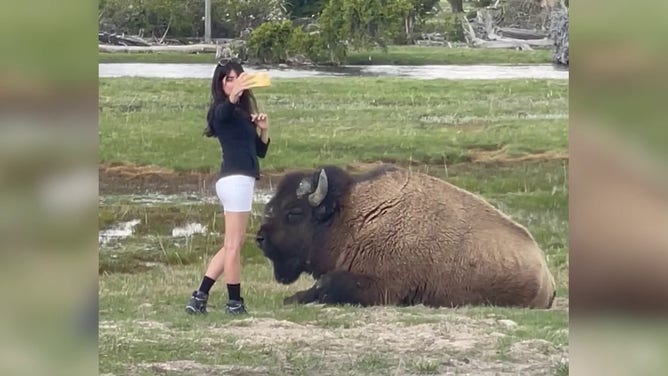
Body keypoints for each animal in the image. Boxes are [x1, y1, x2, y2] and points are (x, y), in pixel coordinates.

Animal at [258, 164, 560, 308]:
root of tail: (546, 273)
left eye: (294, 213)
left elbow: (326, 284)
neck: (353, 217)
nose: (260, 238)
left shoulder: (382, 287)